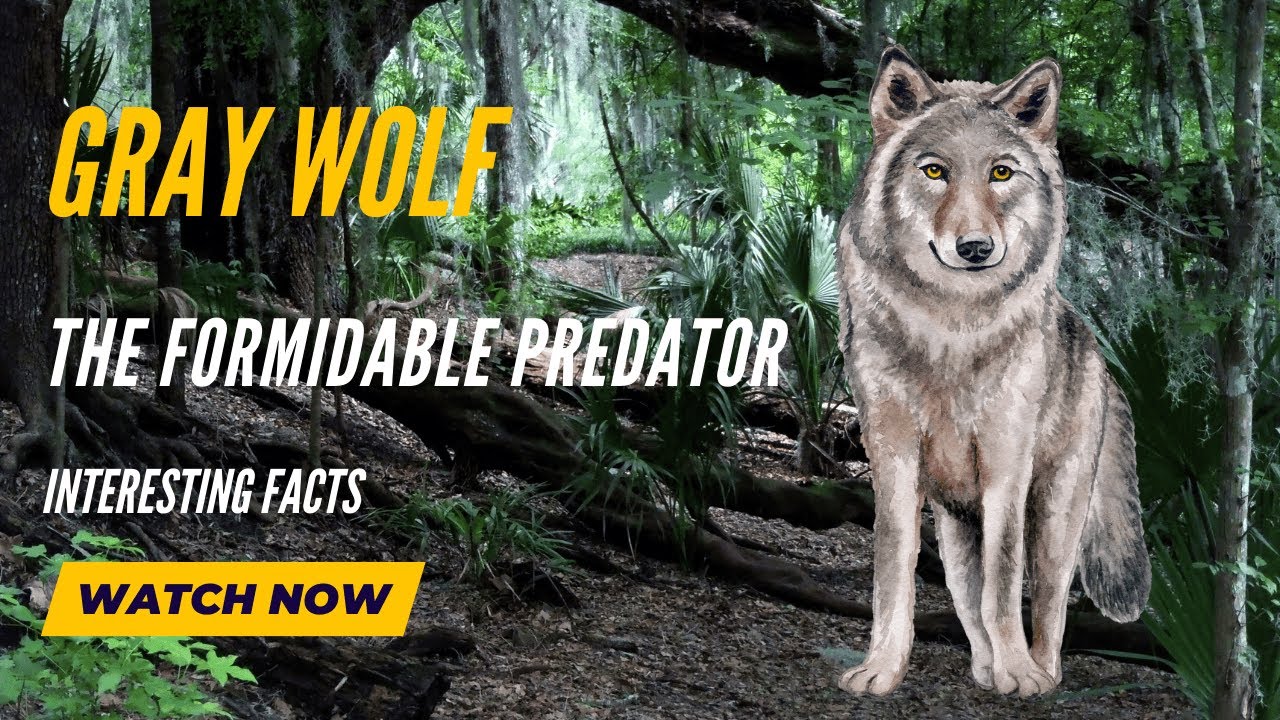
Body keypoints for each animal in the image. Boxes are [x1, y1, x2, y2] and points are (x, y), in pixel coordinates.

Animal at [835, 46, 1151, 697]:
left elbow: (1005, 584)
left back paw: (1041, 671)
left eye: (1001, 174)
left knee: (1049, 601)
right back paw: (985, 671)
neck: (951, 332)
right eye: (934, 172)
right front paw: (881, 670)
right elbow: (894, 571)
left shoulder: (1008, 463)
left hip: (1055, 518)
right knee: (966, 592)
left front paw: (1020, 675)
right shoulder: (892, 458)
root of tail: (1102, 361)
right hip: (956, 526)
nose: (976, 248)